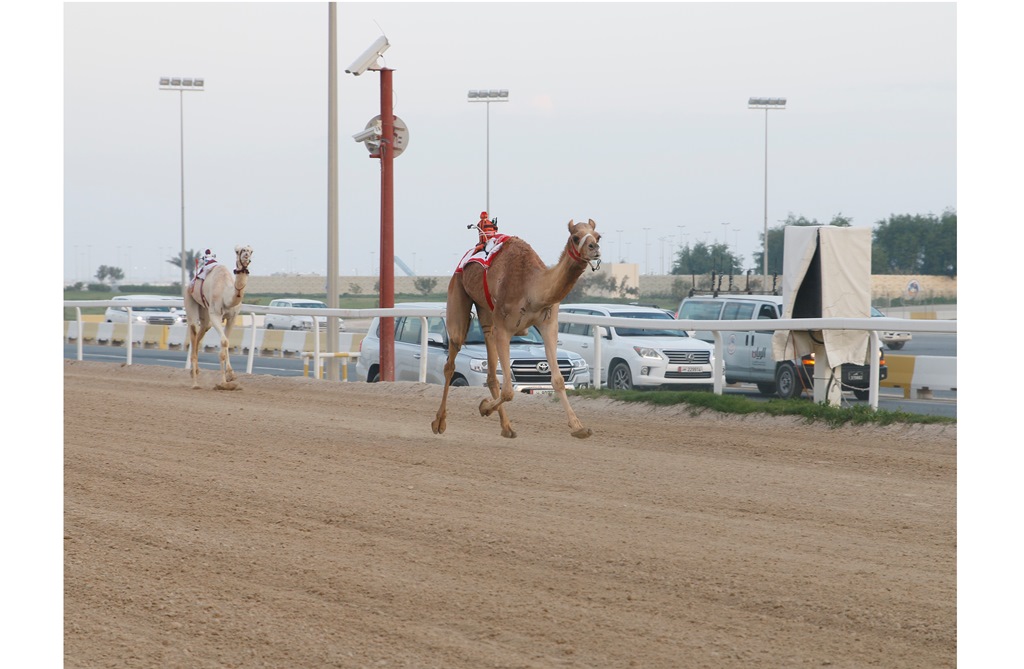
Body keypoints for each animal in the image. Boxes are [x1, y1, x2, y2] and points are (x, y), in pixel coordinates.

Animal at [182, 244, 251, 391]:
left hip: (204, 310)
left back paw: (194, 371)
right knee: (194, 329)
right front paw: (223, 383)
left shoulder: (232, 317)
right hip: (189, 299)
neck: (226, 294)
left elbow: (227, 342)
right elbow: (224, 343)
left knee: (203, 329)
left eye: (251, 250)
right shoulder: (215, 315)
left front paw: (231, 376)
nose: (246, 256)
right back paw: (195, 383)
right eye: (238, 251)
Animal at [430, 219, 598, 438]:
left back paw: (507, 427)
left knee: (491, 373)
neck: (532, 288)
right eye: (576, 237)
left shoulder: (548, 324)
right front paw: (483, 407)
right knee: (451, 361)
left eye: (598, 235)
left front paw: (579, 427)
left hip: (487, 313)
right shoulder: (504, 328)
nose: (595, 248)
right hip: (458, 291)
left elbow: (558, 380)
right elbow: (509, 391)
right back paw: (439, 422)